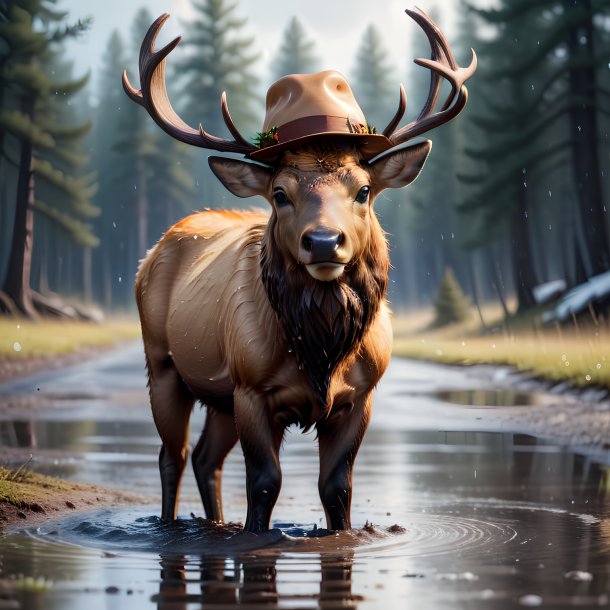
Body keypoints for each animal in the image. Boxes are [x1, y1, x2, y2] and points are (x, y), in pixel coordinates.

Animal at [122, 8, 476, 532]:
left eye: (364, 189)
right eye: (279, 194)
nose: (325, 241)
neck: (322, 353)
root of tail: (152, 252)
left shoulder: (361, 395)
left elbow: (337, 488)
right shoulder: (252, 388)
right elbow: (265, 483)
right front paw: (255, 536)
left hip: (219, 395)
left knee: (207, 458)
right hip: (163, 363)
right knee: (174, 455)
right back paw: (168, 525)